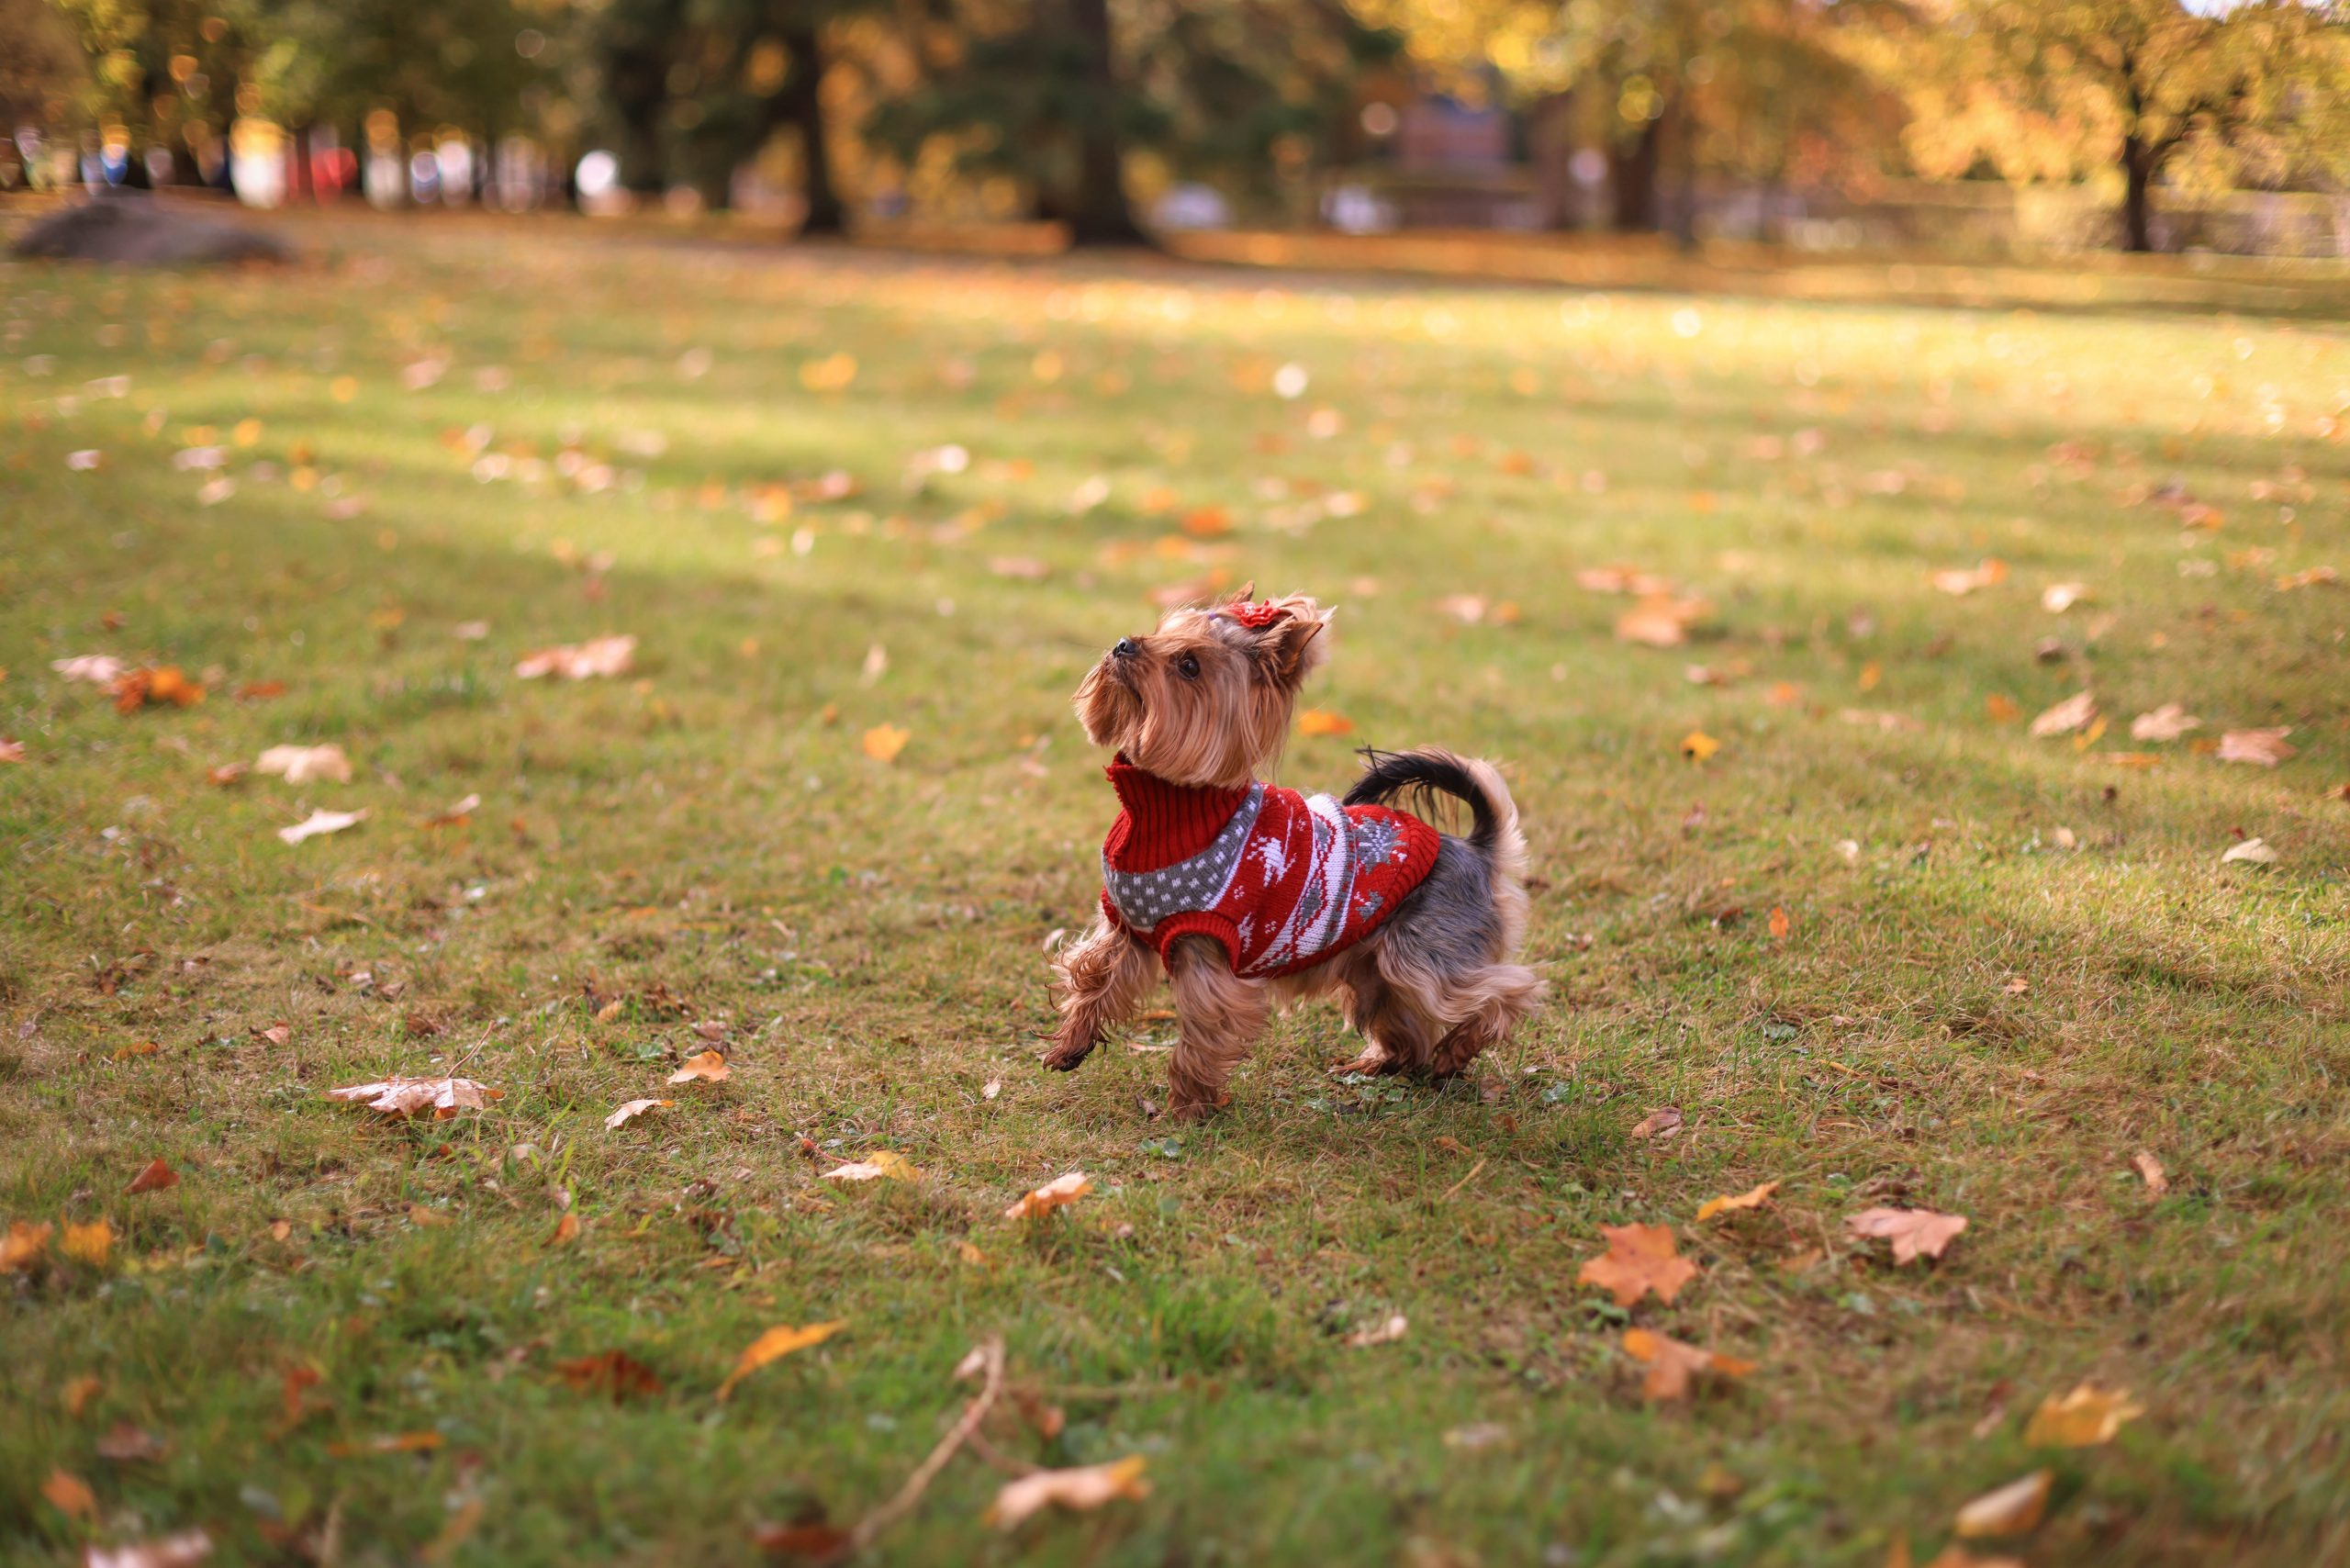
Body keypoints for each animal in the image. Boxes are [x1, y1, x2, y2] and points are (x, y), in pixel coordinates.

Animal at [1043, 588, 1541, 1114]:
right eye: (1160, 631)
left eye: (1189, 665)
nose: (1123, 645)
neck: (1170, 811)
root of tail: (1478, 850)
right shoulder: (1129, 931)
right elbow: (1093, 977)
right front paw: (1070, 1045)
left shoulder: (1207, 951)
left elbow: (1203, 1031)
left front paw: (1189, 1107)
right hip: (1375, 966)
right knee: (1407, 1027)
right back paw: (1383, 1064)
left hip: (1424, 954)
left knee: (1508, 991)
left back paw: (1457, 1049)